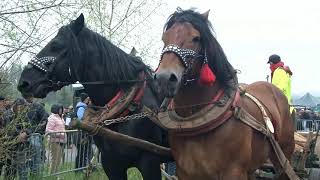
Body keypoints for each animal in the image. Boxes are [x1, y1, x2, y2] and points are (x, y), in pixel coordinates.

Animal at [154, 8, 294, 180]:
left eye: (196, 38)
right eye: (164, 38)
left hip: (284, 156)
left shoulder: (233, 172)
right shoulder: (185, 172)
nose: (164, 78)